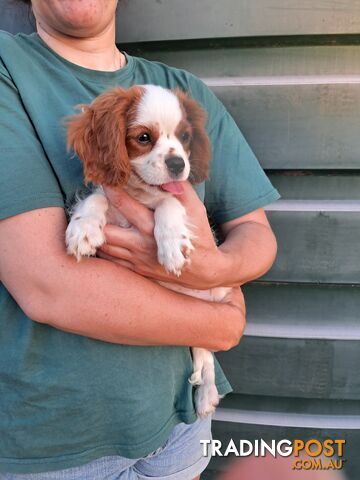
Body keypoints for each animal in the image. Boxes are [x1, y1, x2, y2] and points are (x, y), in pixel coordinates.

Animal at [65, 86, 229, 416]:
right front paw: (83, 228)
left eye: (185, 136)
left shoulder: (178, 202)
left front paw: (172, 245)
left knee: (206, 356)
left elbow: (170, 202)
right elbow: (97, 198)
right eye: (143, 138)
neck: (140, 194)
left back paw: (207, 394)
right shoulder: (109, 198)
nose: (178, 164)